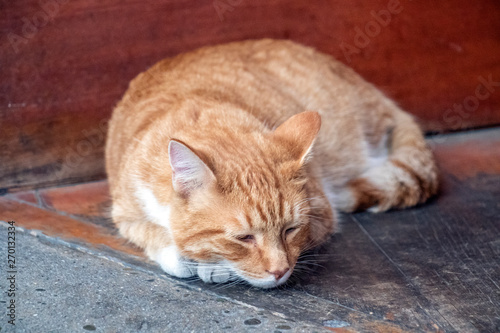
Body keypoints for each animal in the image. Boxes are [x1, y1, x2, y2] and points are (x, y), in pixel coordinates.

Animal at [105, 39, 438, 288]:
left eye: (291, 230)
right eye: (244, 238)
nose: (280, 272)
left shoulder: (322, 210)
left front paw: (214, 266)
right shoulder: (126, 214)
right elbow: (155, 235)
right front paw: (185, 254)